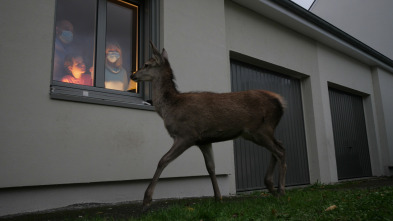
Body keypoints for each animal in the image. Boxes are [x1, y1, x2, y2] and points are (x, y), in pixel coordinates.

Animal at [130, 42, 286, 212]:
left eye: (146, 64)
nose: (132, 76)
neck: (171, 108)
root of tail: (280, 102)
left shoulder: (187, 134)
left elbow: (163, 160)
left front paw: (146, 201)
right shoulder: (204, 140)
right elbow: (210, 167)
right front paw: (218, 198)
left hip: (260, 129)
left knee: (280, 150)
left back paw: (281, 191)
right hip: (257, 132)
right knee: (278, 146)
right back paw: (271, 187)